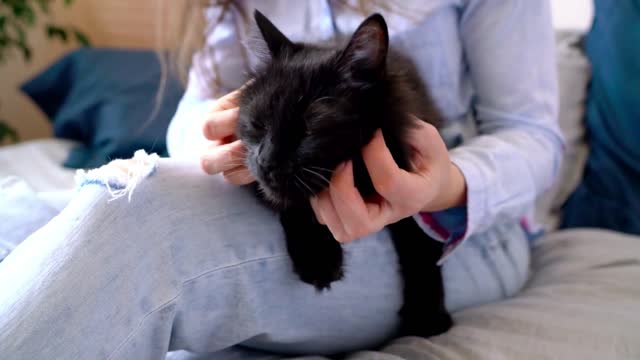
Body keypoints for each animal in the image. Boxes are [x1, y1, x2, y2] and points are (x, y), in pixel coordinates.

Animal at [238, 10, 452, 338]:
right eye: (258, 124)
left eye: (310, 129)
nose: (266, 160)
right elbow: (295, 204)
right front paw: (318, 256)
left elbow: (421, 245)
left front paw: (427, 315)